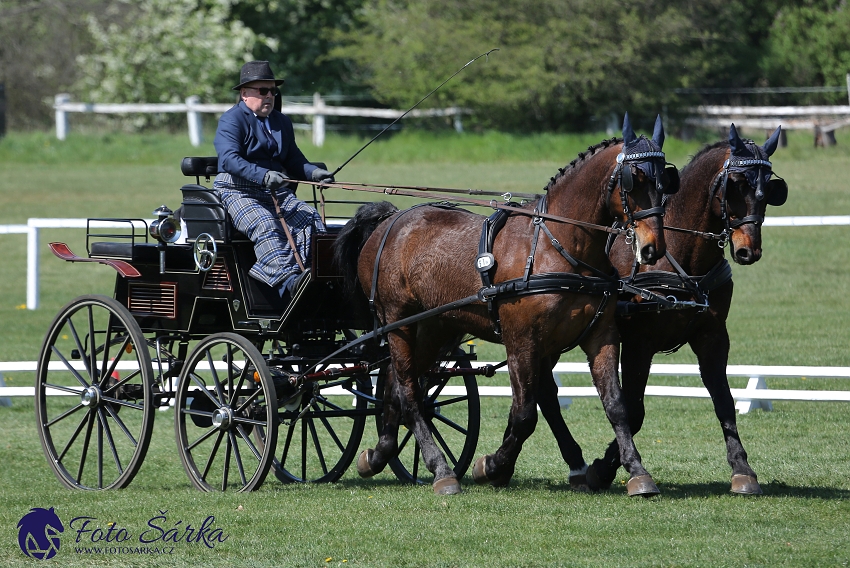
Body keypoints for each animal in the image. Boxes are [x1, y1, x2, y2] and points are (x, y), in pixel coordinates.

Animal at [336, 114, 676, 492]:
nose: (652, 248)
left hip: (434, 328)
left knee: (397, 388)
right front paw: (493, 465)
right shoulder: (522, 340)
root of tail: (390, 221)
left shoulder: (599, 336)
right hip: (399, 325)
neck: (557, 246)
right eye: (634, 179)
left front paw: (636, 471)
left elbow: (616, 406)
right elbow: (525, 413)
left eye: (666, 180)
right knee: (409, 394)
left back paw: (378, 454)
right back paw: (441, 470)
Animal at [568, 124, 784, 492]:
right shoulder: (639, 344)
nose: (748, 250)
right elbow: (634, 409)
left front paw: (742, 468)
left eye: (769, 187)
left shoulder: (712, 336)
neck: (681, 257)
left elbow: (724, 401)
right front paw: (607, 468)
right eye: (737, 183)